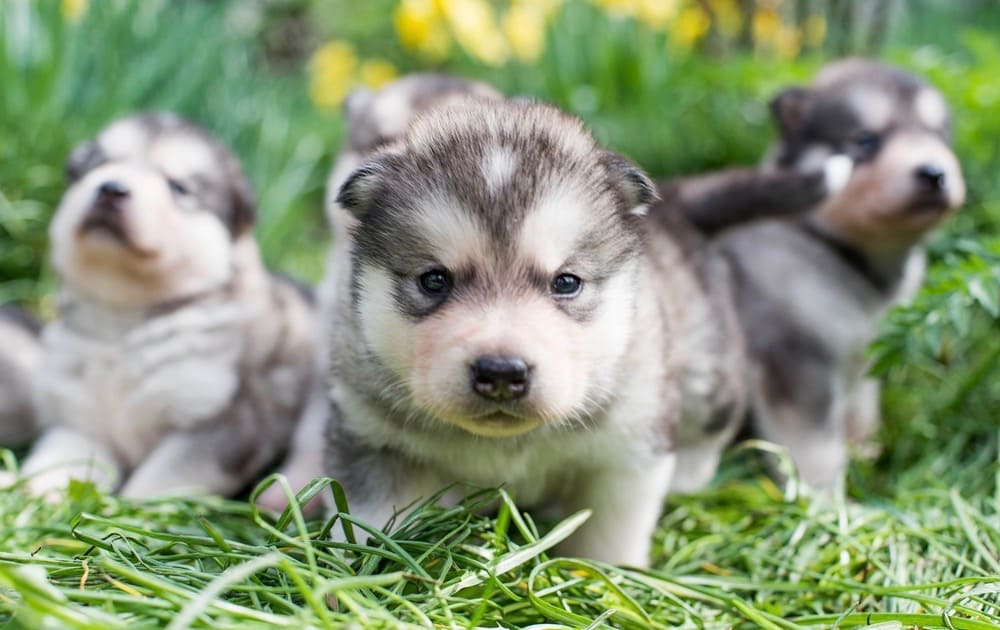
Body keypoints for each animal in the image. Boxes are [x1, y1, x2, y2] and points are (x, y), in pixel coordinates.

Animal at [17, 112, 318, 498]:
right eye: (98, 165)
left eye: (178, 187)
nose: (111, 189)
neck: (124, 317)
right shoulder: (80, 424)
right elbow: (52, 467)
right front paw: (24, 493)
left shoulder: (219, 425)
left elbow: (154, 483)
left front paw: (127, 512)